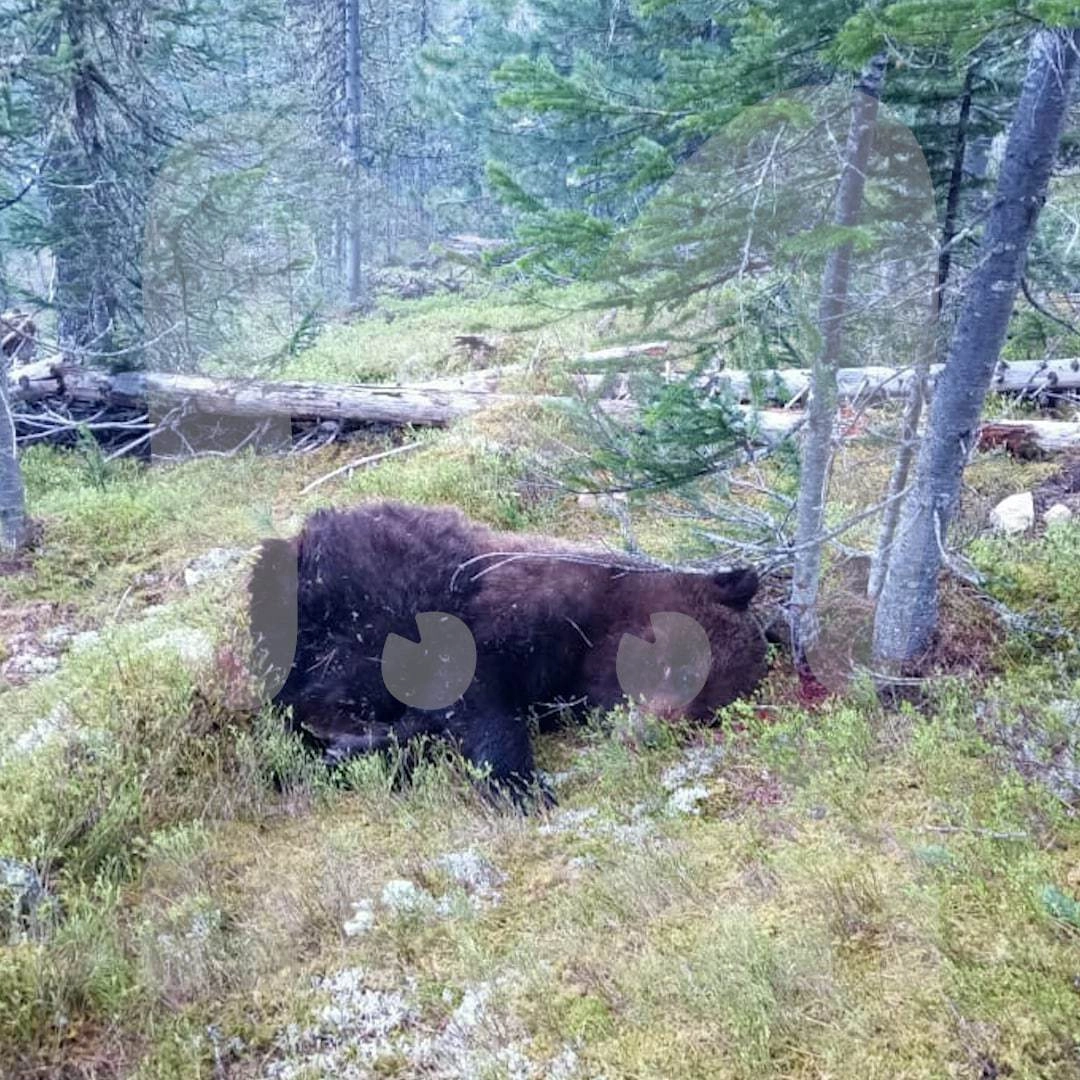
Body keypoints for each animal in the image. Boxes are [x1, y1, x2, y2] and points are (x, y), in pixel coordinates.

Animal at [250, 498, 768, 803]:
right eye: (682, 670)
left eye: (710, 712)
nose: (648, 732)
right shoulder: (518, 605)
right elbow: (471, 687)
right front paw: (521, 785)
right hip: (336, 598)